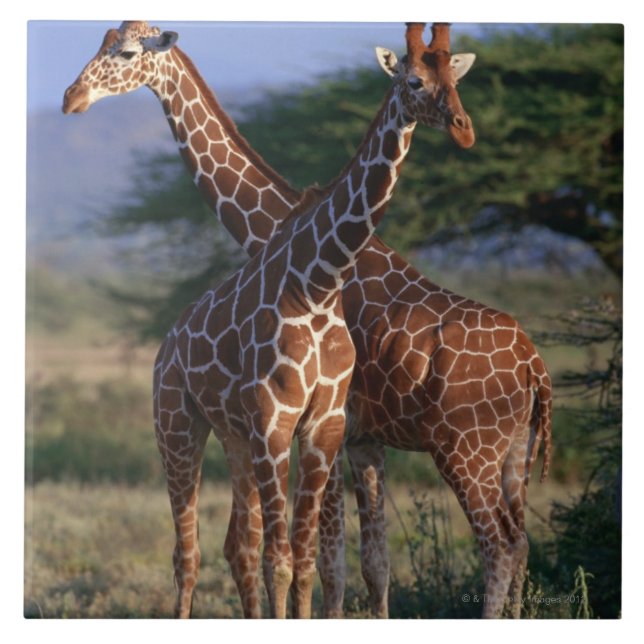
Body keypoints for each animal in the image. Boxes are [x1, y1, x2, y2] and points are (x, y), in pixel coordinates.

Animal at [62, 21, 551, 619]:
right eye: (103, 44)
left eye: (128, 53)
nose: (72, 97)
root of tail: (534, 365)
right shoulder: (353, 437)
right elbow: (365, 563)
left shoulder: (336, 428)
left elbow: (329, 560)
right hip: (510, 451)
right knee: (520, 541)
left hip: (467, 448)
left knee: (499, 545)